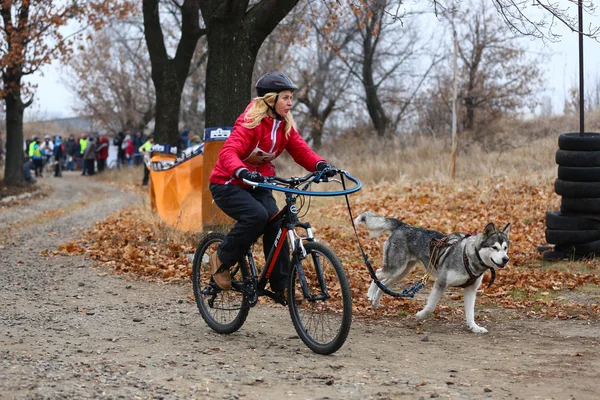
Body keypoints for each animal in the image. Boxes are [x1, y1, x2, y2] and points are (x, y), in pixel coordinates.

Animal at [356, 212, 510, 334]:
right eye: (494, 247)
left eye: (505, 248)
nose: (506, 259)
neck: (467, 256)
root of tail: (402, 225)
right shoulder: (441, 283)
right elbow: (430, 307)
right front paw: (421, 315)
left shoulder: (471, 290)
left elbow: (470, 313)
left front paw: (474, 327)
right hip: (395, 268)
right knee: (377, 273)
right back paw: (371, 293)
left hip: (401, 272)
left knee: (385, 284)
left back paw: (375, 302)